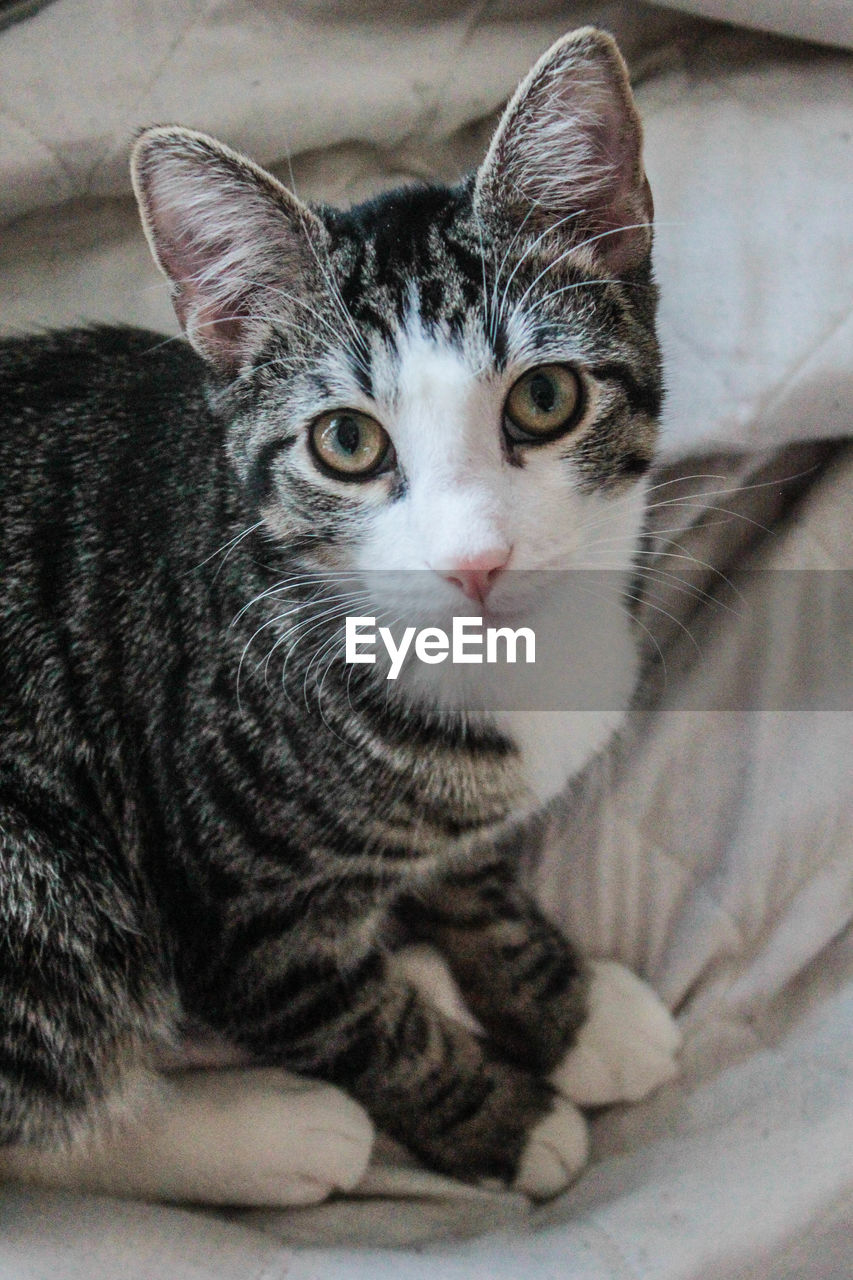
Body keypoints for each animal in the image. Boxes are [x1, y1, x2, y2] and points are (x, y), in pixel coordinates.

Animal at [0, 32, 676, 1208]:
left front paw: (570, 1008)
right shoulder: (236, 913)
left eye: (544, 400)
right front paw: (503, 1117)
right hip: (42, 884)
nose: (476, 561)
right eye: (347, 443)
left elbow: (477, 877)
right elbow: (356, 1024)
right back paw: (271, 1134)